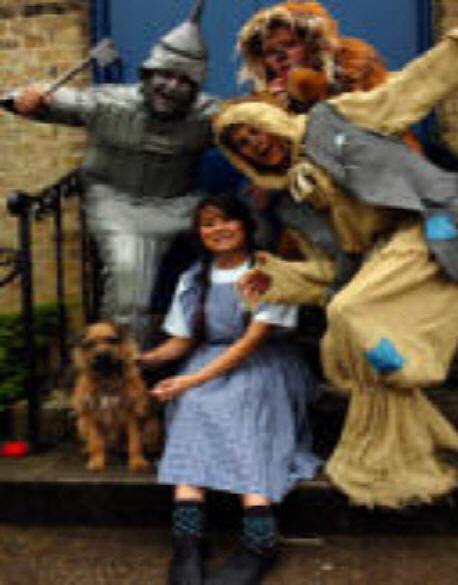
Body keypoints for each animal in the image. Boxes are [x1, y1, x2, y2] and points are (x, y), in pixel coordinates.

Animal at [70, 322, 151, 472]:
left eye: (111, 340)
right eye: (90, 343)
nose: (102, 356)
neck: (108, 377)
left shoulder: (132, 413)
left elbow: (134, 441)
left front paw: (136, 461)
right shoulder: (92, 413)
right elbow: (96, 442)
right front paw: (97, 461)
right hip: (81, 422)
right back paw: (88, 449)